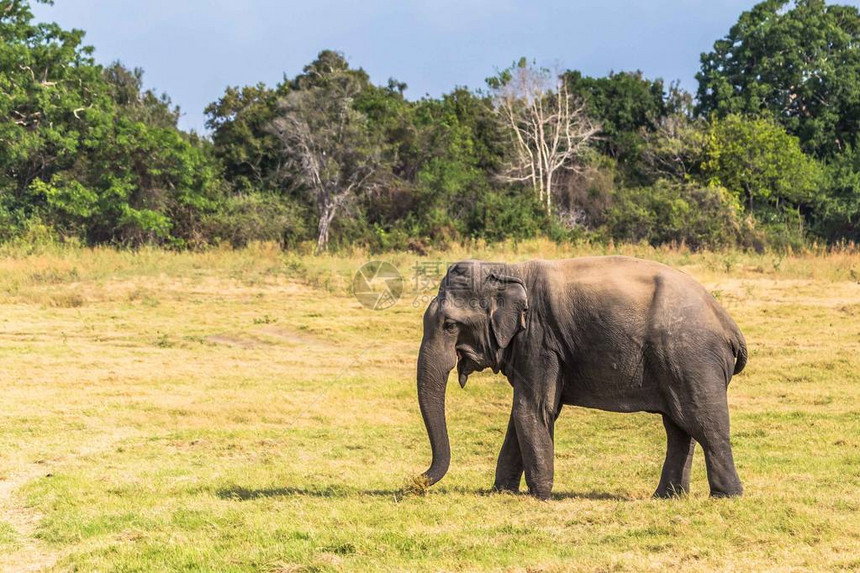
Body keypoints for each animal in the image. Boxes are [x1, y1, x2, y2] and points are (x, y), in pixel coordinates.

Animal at [416, 256, 744, 498]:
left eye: (449, 325)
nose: (417, 481)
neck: (508, 269)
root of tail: (729, 325)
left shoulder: (540, 341)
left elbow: (532, 410)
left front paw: (540, 496)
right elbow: (519, 415)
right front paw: (501, 492)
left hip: (691, 358)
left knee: (704, 422)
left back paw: (726, 495)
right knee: (678, 427)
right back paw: (666, 496)